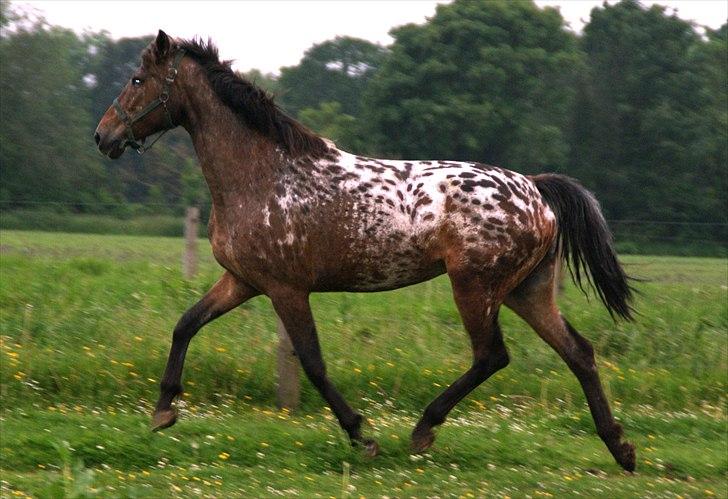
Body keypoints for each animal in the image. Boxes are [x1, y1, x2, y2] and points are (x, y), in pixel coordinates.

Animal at [95, 30, 636, 472]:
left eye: (138, 79)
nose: (104, 136)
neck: (261, 175)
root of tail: (537, 190)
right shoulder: (243, 281)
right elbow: (185, 324)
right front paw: (163, 410)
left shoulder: (286, 289)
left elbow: (313, 362)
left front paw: (362, 435)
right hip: (527, 290)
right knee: (579, 352)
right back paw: (621, 449)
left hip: (476, 288)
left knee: (492, 356)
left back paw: (423, 430)